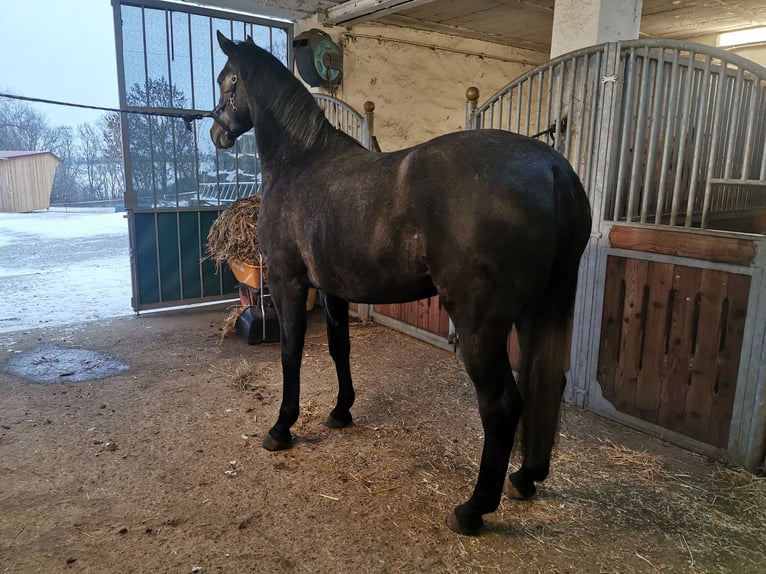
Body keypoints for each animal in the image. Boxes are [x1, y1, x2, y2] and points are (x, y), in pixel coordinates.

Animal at [209, 31, 592, 536]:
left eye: (227, 80)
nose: (216, 133)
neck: (300, 162)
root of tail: (552, 167)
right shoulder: (331, 288)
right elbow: (339, 348)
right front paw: (341, 412)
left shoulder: (290, 282)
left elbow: (291, 353)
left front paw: (281, 429)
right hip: (537, 312)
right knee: (546, 383)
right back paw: (525, 478)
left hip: (479, 324)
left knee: (502, 403)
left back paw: (472, 509)